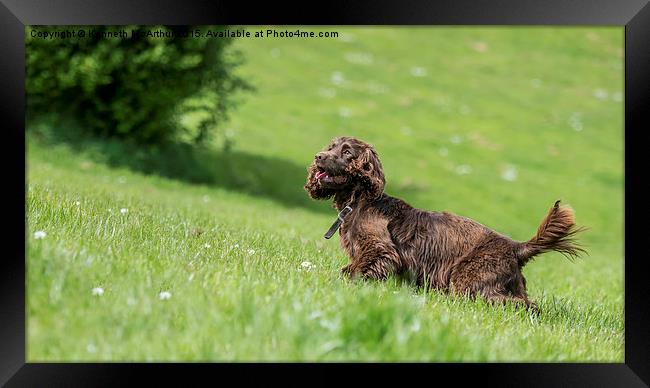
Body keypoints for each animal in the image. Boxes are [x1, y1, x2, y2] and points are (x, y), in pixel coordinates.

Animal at [302, 136, 584, 310]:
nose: (317, 156)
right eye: (331, 146)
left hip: (468, 279)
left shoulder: (381, 251)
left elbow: (352, 270)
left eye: (347, 152)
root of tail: (516, 247)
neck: (359, 200)